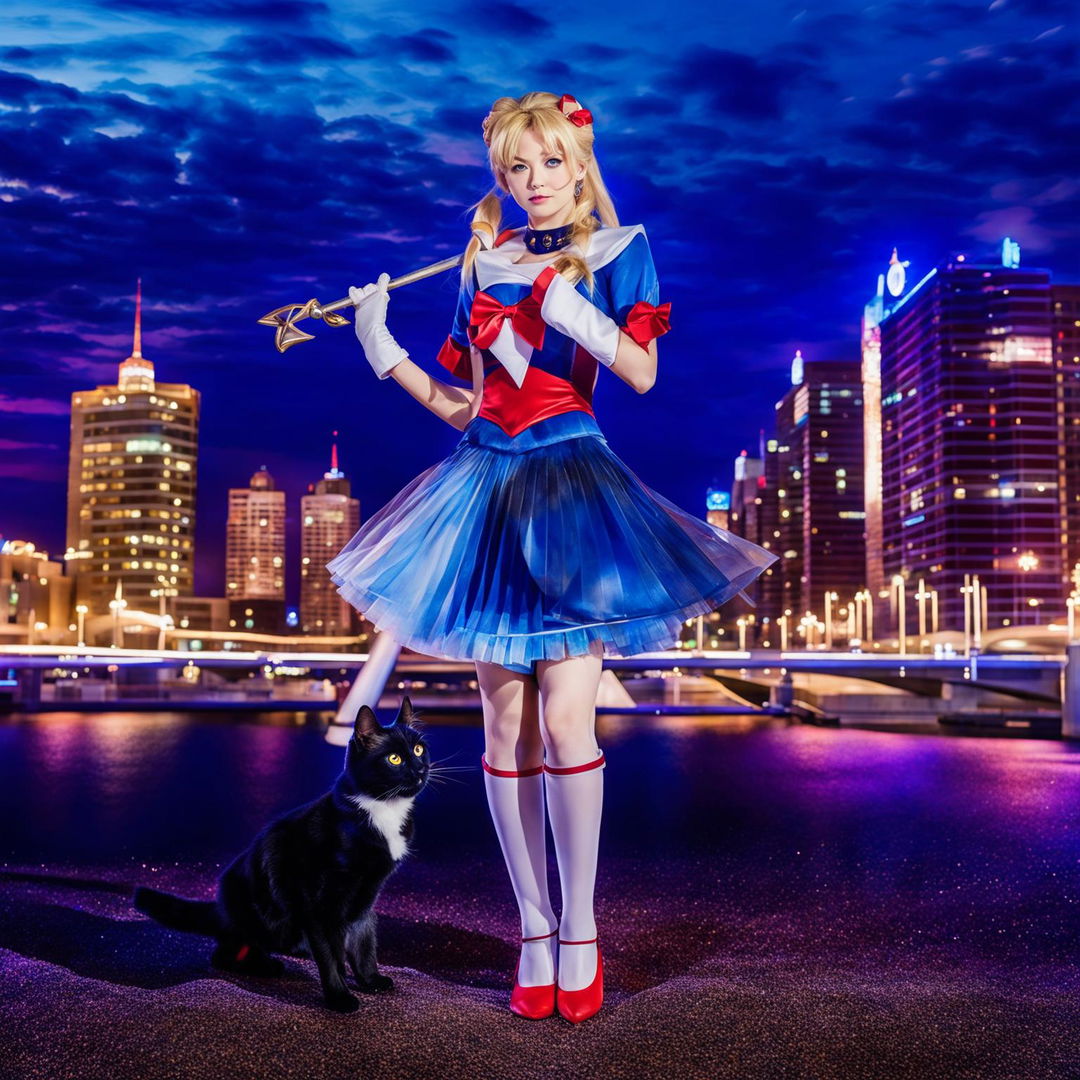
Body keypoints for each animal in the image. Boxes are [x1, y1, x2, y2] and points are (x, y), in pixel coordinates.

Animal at [130, 699, 425, 1010]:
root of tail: (221, 905)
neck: (380, 811)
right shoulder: (317, 904)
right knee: (226, 951)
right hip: (269, 920)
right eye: (394, 759)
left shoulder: (367, 895)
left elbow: (364, 942)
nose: (420, 769)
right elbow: (330, 956)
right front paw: (340, 997)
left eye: (419, 750)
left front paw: (370, 980)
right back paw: (265, 965)